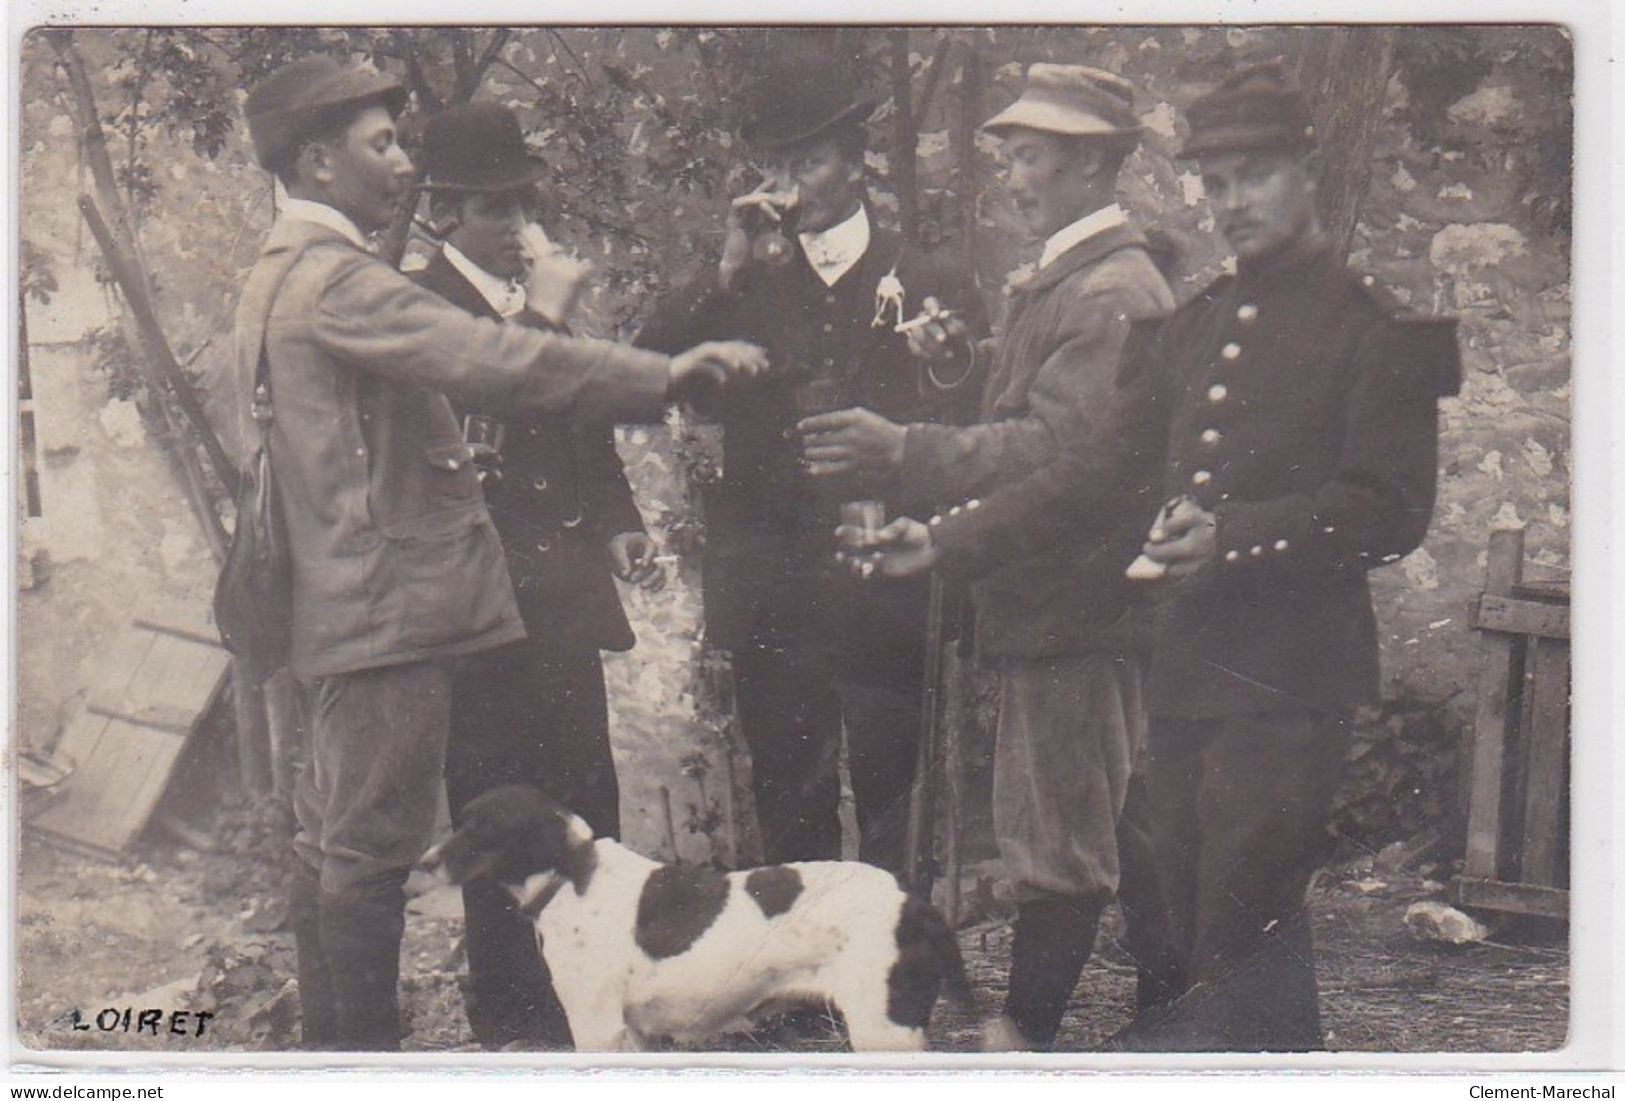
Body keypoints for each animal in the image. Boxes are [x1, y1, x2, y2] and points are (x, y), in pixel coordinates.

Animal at [425, 785, 968, 1052]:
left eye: (481, 826)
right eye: (461, 820)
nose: (422, 863)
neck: (572, 875)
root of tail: (915, 903)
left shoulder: (596, 1026)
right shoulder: (636, 1035)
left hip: (885, 1029)